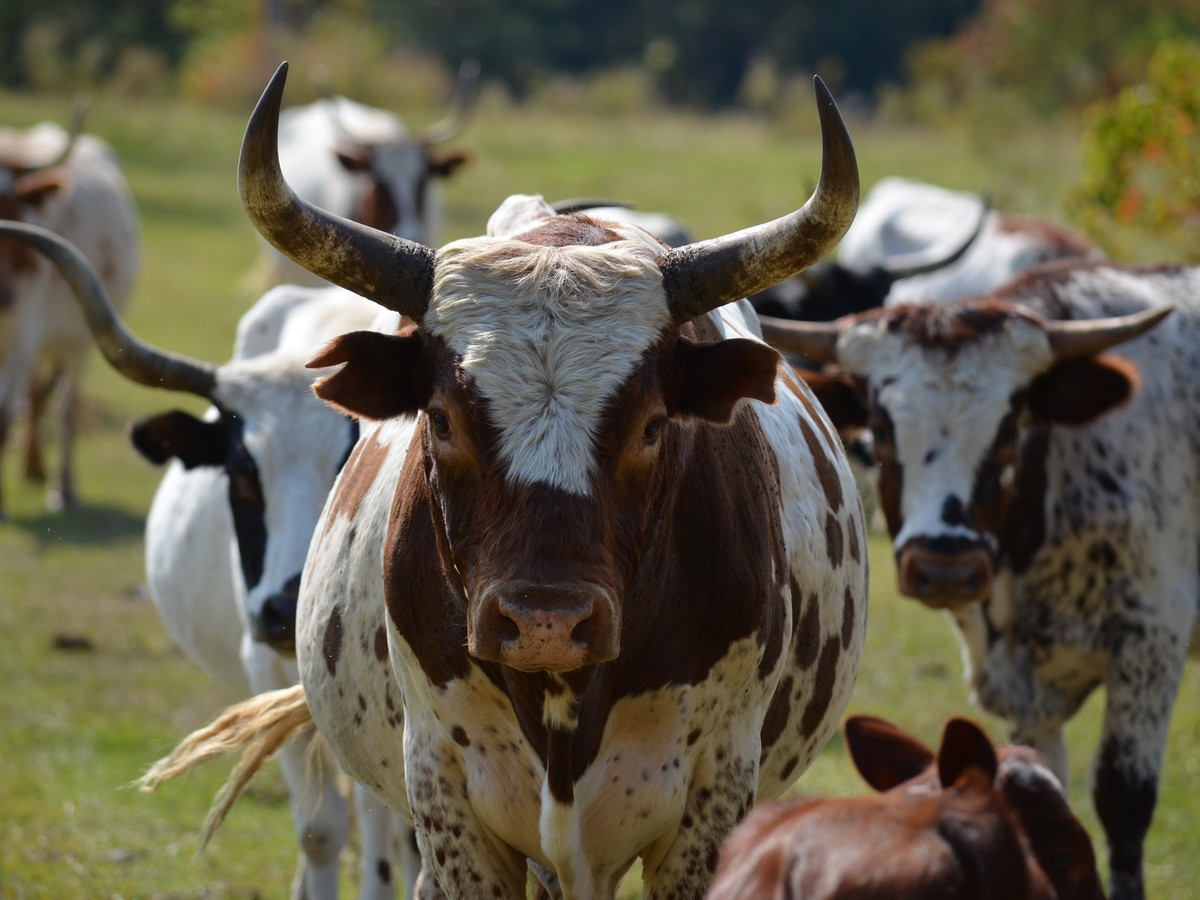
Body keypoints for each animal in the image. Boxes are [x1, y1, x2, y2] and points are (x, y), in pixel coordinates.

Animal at [0, 105, 138, 518]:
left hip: (80, 342)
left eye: (14, 211)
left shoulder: (22, 336)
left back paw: (62, 486)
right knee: (37, 394)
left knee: (66, 406)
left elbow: (3, 414)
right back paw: (32, 465)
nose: (5, 295)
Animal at [758, 260, 1190, 900]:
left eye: (1011, 424)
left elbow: (1124, 801)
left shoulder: (1153, 639)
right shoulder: (1025, 689)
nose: (946, 566)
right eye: (879, 428)